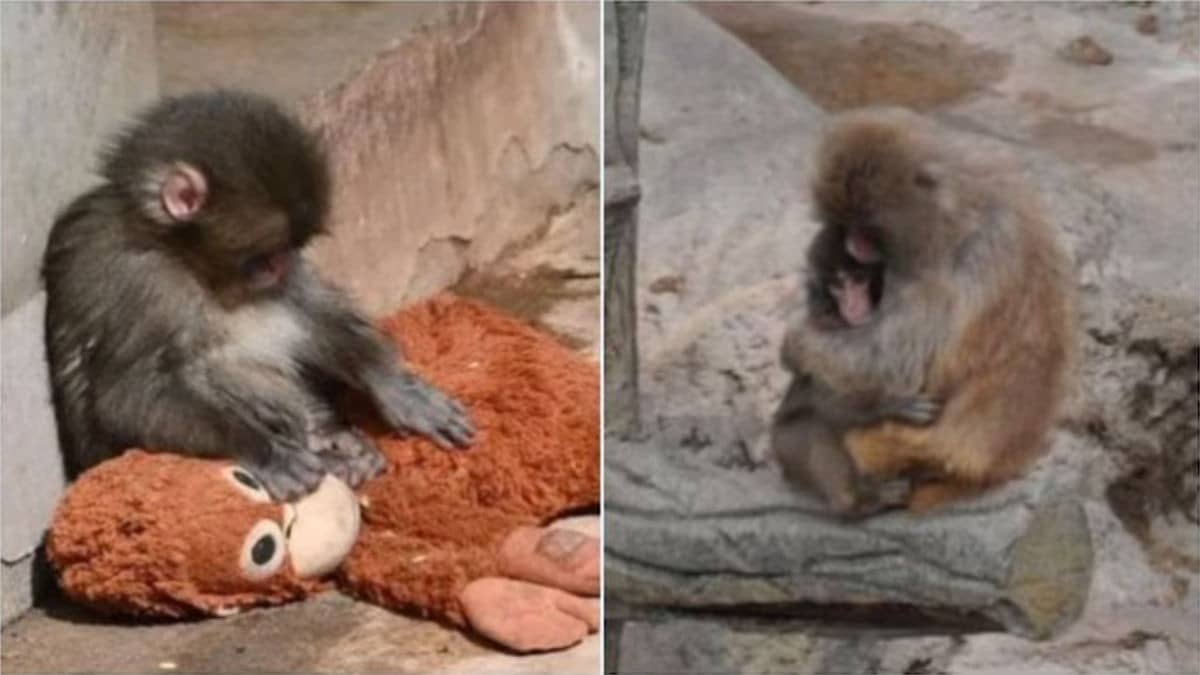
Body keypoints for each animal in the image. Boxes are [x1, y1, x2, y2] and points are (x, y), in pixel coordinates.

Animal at [42, 90, 476, 500]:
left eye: (290, 250)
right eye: (264, 258)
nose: (282, 267)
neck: (182, 257)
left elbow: (306, 305)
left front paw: (394, 384)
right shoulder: (133, 278)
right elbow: (126, 395)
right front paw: (265, 451)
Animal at [779, 107, 1077, 514]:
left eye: (867, 229)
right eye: (847, 224)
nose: (853, 245)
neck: (959, 211)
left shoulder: (948, 265)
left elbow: (896, 360)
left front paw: (797, 344)